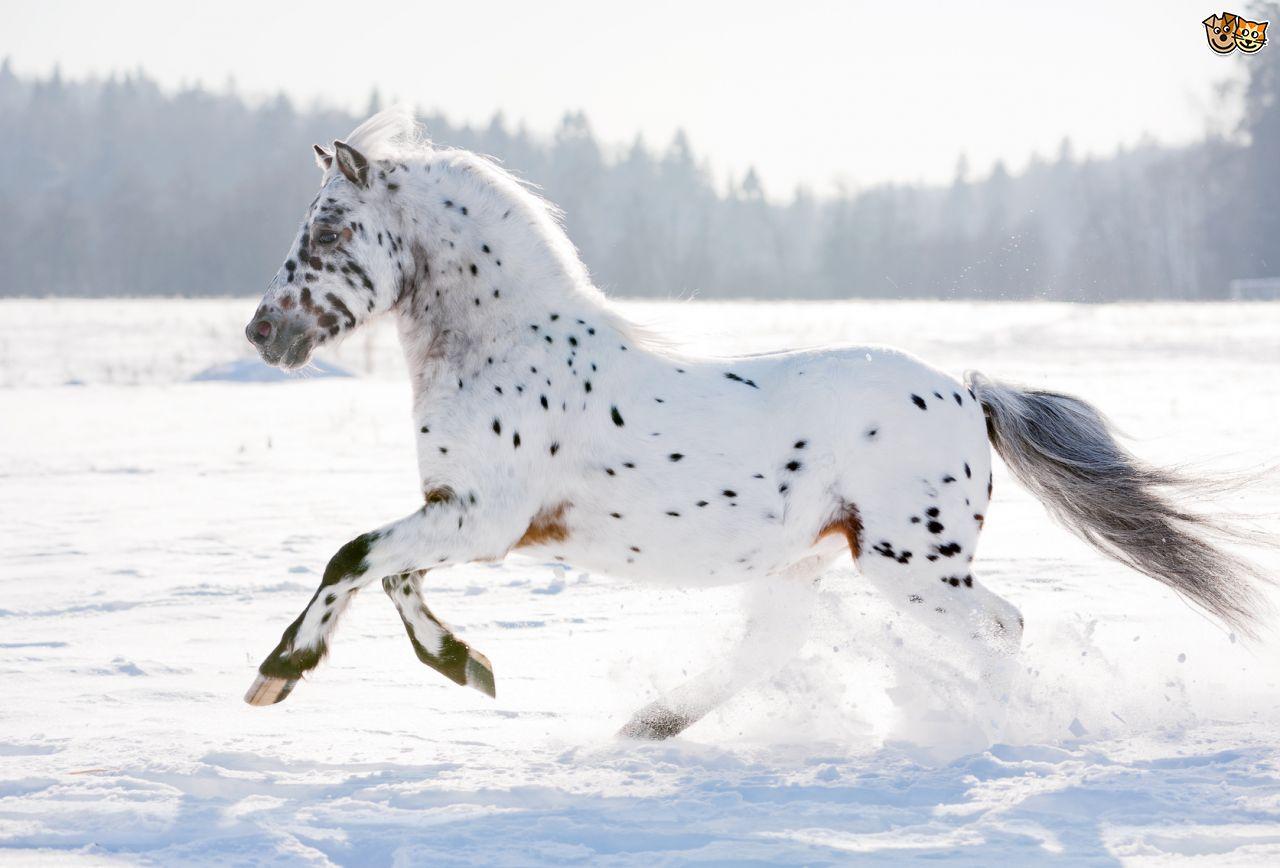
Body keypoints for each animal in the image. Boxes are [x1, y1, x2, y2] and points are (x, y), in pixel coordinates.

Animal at [242, 109, 1267, 739]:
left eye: (329, 229)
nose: (263, 331)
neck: (505, 346)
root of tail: (967, 393)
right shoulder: (460, 514)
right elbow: (390, 576)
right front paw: (467, 665)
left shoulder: (484, 519)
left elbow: (352, 558)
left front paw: (279, 671)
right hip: (810, 561)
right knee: (772, 650)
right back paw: (648, 726)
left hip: (910, 566)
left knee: (1003, 629)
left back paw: (979, 731)